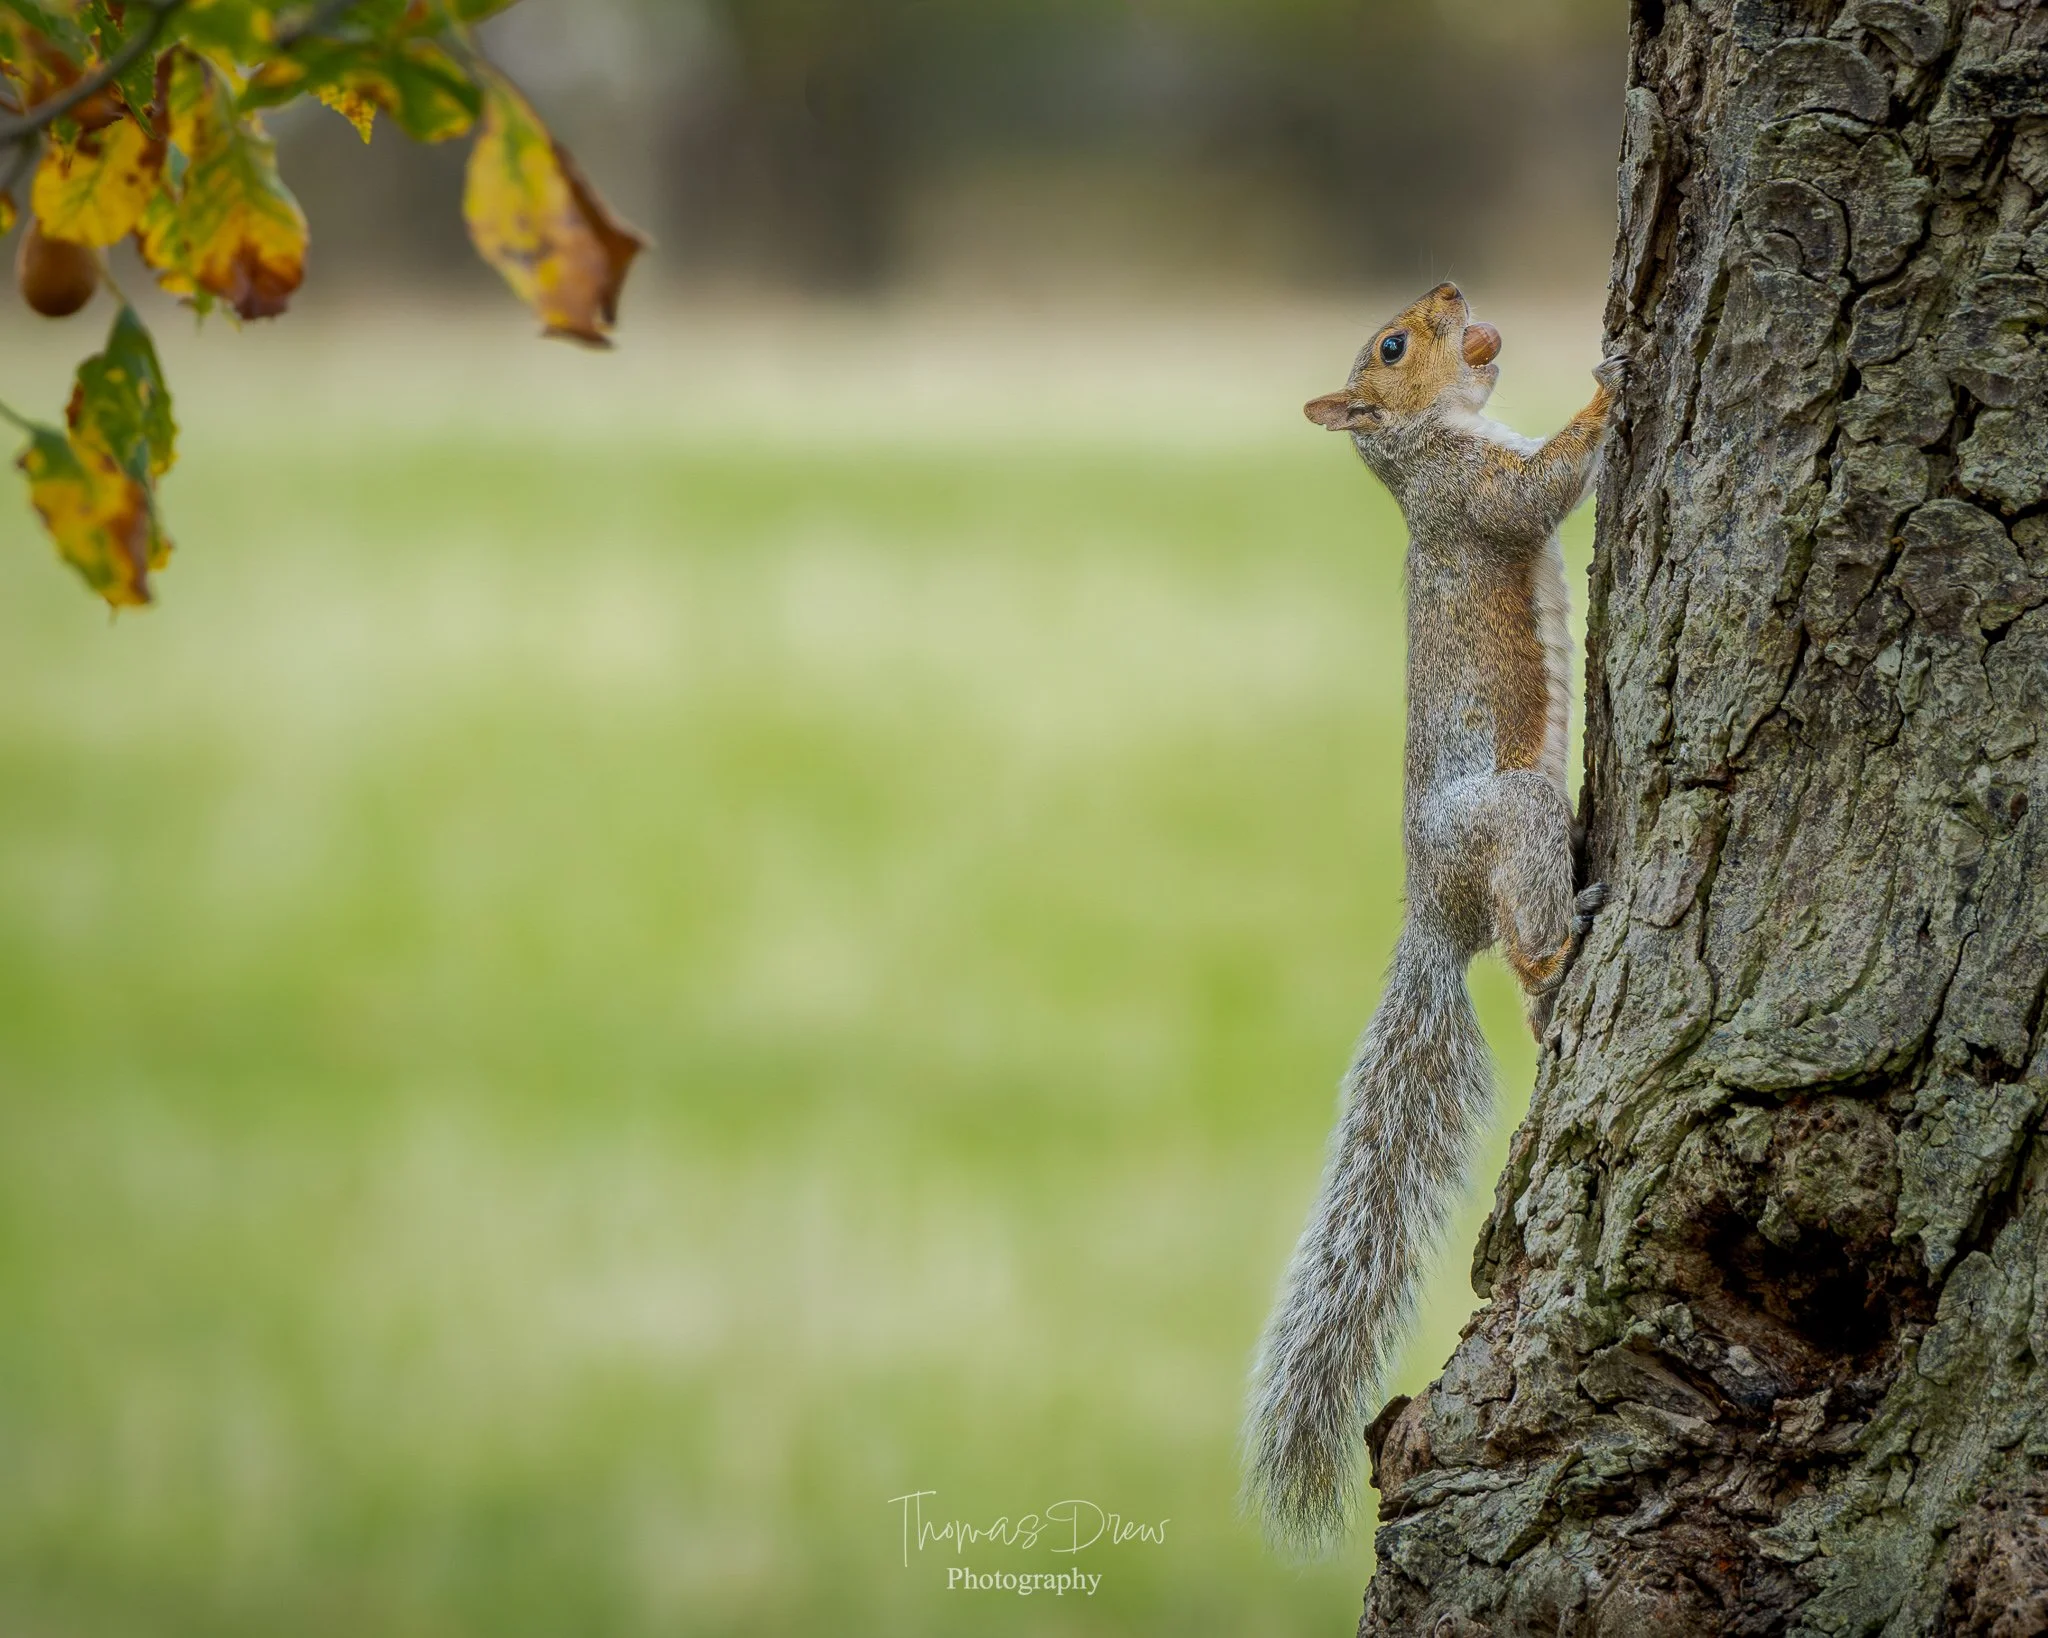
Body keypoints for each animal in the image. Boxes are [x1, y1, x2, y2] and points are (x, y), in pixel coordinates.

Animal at [1244, 282, 1625, 1553]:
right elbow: (1535, 491)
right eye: (1392, 344)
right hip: (1512, 813)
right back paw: (1565, 938)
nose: (1453, 293)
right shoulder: (1476, 500)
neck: (1422, 449)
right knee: (1520, 944)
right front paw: (1606, 391)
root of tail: (1433, 916)